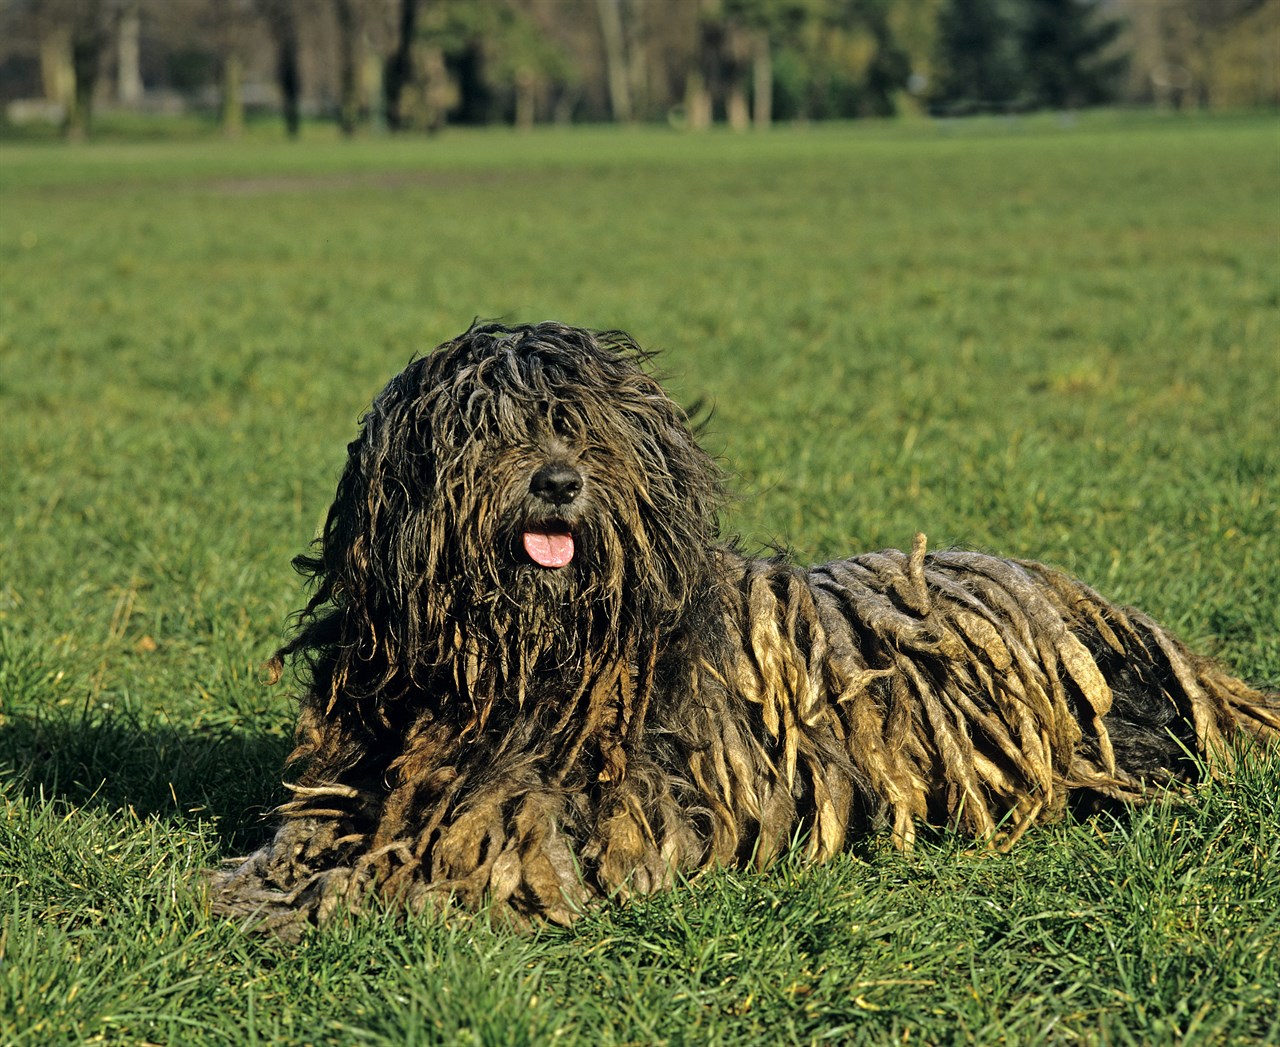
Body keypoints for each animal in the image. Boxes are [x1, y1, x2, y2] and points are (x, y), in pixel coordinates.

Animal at [212, 318, 1280, 931]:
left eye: (583, 427)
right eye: (487, 428)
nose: (558, 482)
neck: (511, 662)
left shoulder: (575, 823)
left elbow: (443, 872)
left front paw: (331, 901)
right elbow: (301, 839)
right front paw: (255, 885)